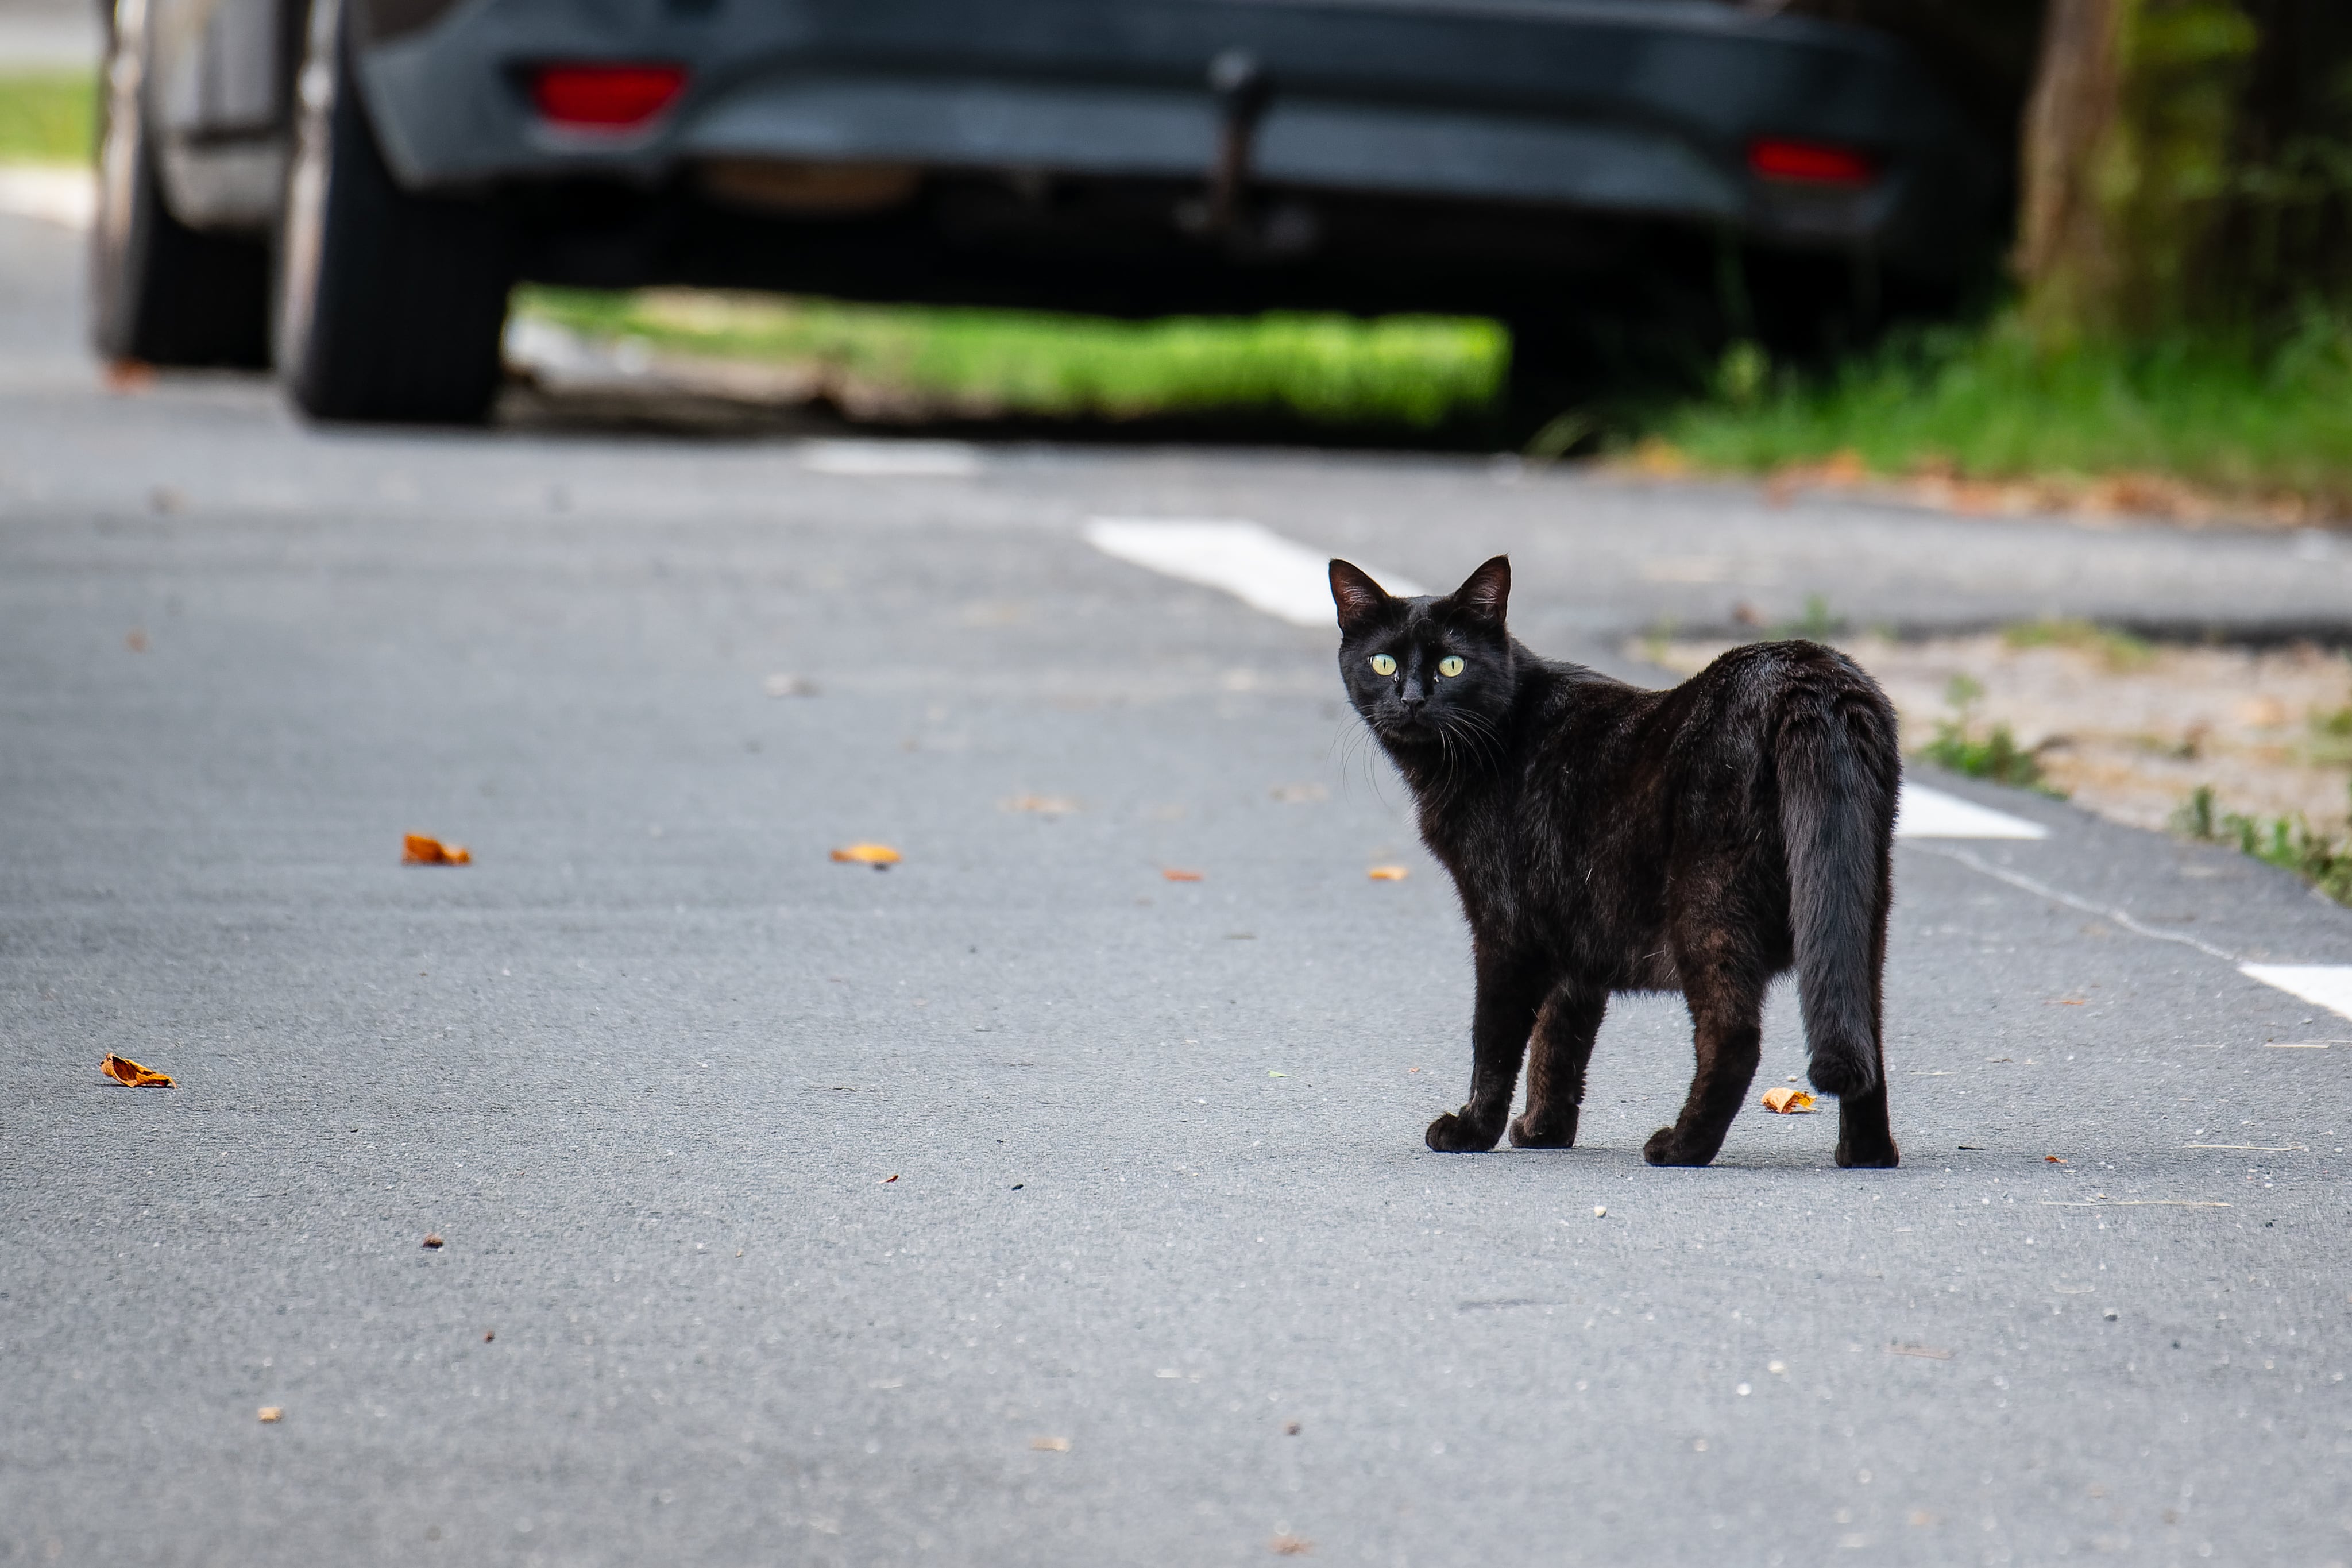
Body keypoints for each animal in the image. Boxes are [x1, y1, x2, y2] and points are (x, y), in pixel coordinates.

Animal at [1335, 554, 1900, 1166]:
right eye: (1383, 663)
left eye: (1452, 665)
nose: (1412, 699)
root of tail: (1805, 678)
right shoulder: (1573, 932)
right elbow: (1558, 1041)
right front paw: (1543, 1130)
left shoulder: (1504, 929)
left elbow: (1496, 1041)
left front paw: (1471, 1130)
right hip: (1857, 908)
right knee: (1865, 1029)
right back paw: (1867, 1153)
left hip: (1707, 908)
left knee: (1733, 1037)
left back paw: (1681, 1146)